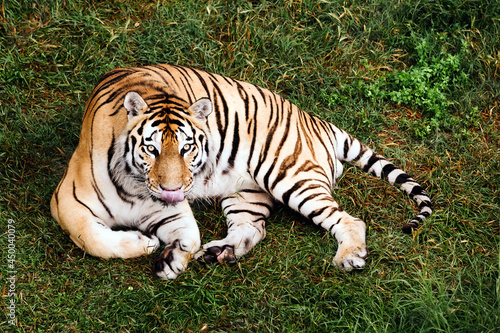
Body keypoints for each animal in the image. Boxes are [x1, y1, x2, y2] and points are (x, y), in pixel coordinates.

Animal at [51, 63, 434, 278]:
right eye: (152, 149)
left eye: (187, 148)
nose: (173, 190)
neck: (136, 186)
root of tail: (316, 120)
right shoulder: (67, 201)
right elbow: (93, 238)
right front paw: (153, 248)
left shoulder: (168, 208)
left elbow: (187, 235)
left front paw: (167, 256)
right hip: (246, 192)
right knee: (253, 228)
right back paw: (221, 252)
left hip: (290, 177)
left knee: (349, 220)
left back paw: (350, 256)